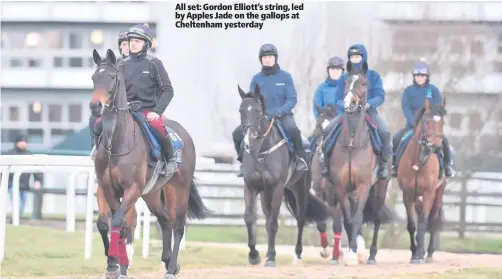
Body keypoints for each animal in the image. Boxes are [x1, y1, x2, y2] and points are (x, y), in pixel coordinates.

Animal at [91, 50, 211, 279]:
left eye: (111, 77)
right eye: (94, 77)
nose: (95, 106)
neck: (116, 144)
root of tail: (184, 134)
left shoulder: (132, 188)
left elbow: (119, 221)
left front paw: (115, 263)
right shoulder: (107, 187)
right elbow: (110, 223)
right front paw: (114, 265)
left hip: (178, 189)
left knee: (177, 225)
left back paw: (171, 268)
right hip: (152, 193)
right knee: (164, 219)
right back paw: (167, 260)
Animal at [238, 85, 330, 266]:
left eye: (258, 111)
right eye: (241, 111)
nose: (248, 141)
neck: (261, 153)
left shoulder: (277, 188)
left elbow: (274, 223)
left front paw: (271, 257)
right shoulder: (250, 186)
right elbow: (249, 218)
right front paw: (254, 255)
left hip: (300, 190)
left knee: (300, 220)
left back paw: (298, 254)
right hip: (266, 194)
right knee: (268, 219)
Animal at [396, 98, 448, 264]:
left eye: (442, 122)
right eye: (426, 121)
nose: (436, 147)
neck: (419, 161)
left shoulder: (429, 193)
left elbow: (425, 222)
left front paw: (419, 253)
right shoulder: (407, 194)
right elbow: (412, 225)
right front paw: (414, 253)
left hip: (439, 192)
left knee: (433, 219)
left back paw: (429, 253)